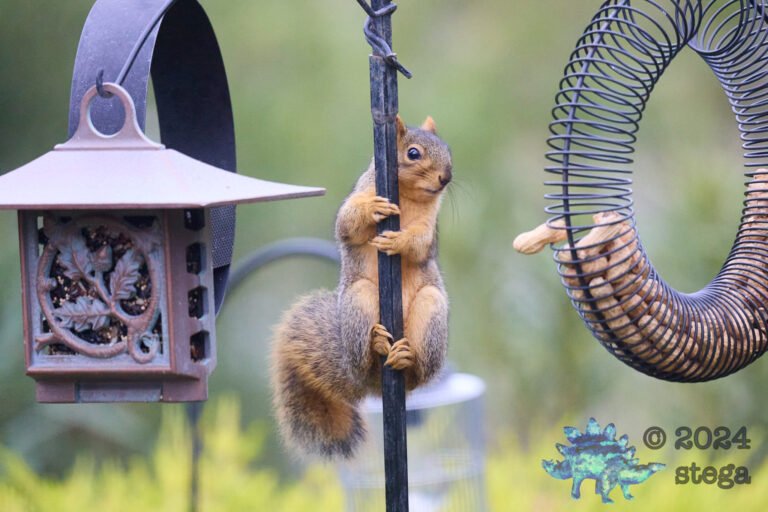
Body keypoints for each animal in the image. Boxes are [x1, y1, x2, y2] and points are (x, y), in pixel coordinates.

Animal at [270, 115, 452, 459]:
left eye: (449, 150)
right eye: (413, 153)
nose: (446, 178)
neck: (409, 198)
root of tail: (369, 385)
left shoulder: (429, 227)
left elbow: (420, 244)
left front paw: (400, 242)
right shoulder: (359, 196)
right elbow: (348, 223)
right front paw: (371, 210)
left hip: (431, 308)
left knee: (418, 373)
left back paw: (406, 359)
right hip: (359, 298)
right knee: (364, 357)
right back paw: (377, 343)